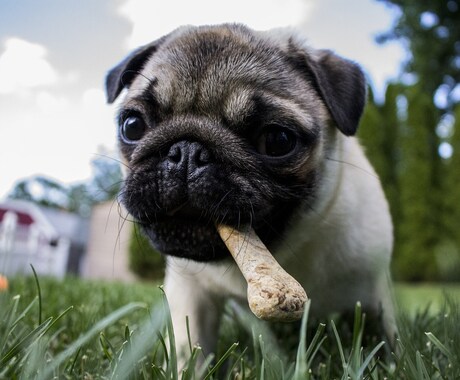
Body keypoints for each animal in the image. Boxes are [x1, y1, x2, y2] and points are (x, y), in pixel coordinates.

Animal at [106, 23, 398, 360]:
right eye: (132, 125)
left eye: (277, 140)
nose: (187, 152)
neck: (282, 252)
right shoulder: (190, 292)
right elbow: (188, 349)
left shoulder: (376, 290)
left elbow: (389, 338)